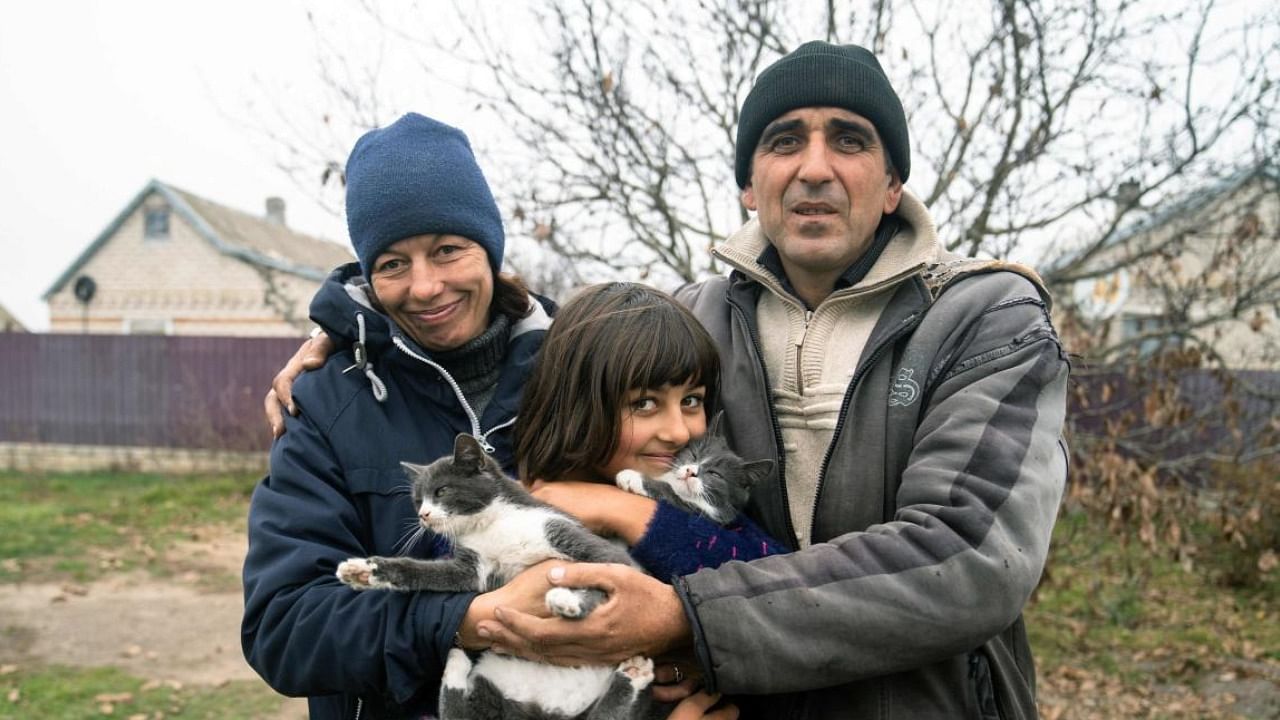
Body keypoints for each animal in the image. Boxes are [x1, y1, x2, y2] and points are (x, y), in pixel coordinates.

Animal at [335, 430, 675, 717]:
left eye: (442, 491)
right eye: (417, 500)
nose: (423, 515)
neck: (492, 524)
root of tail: (547, 711)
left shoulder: (572, 535)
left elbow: (605, 572)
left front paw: (566, 601)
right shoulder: (472, 567)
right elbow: (424, 572)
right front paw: (363, 571)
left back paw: (632, 673)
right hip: (493, 684)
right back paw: (456, 664)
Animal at [614, 409, 773, 520]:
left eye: (715, 474)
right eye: (694, 455)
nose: (691, 472)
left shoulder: (704, 515)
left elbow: (674, 496)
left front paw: (632, 477)